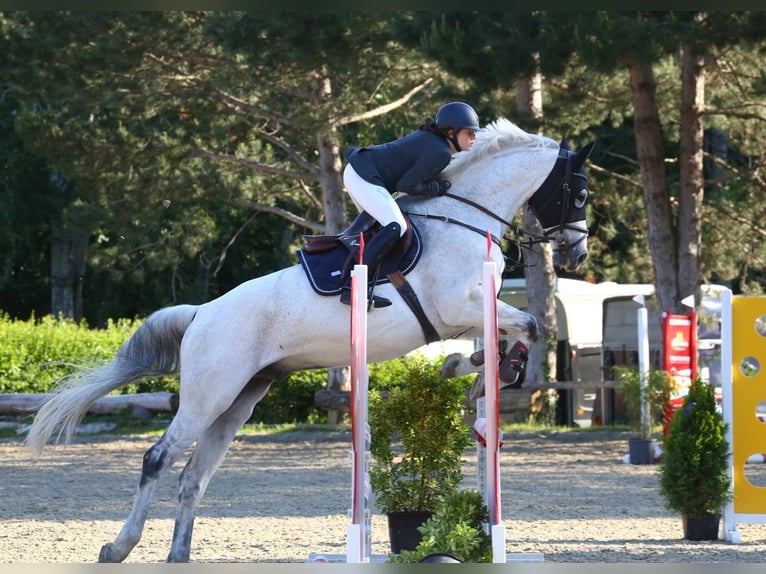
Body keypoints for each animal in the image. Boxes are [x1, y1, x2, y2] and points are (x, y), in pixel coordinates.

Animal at [24, 116, 596, 564]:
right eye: (580, 193)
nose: (578, 255)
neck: (465, 215)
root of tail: (202, 313)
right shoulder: (456, 305)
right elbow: (531, 324)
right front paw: (497, 369)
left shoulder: (472, 312)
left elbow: (513, 331)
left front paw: (484, 370)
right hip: (209, 394)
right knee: (158, 459)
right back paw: (119, 547)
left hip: (240, 399)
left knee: (194, 477)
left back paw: (179, 556)